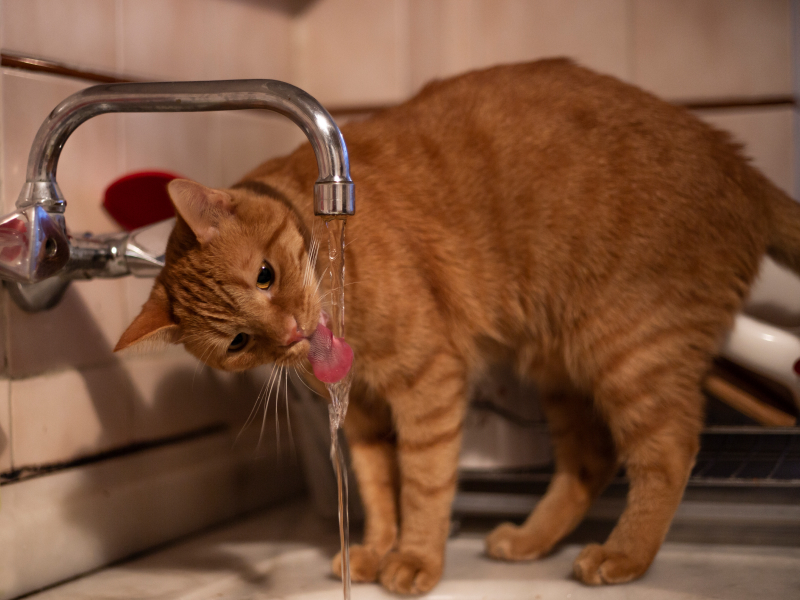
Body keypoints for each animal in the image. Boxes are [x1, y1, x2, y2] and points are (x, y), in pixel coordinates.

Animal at [114, 58, 800, 592]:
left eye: (265, 275)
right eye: (237, 342)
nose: (289, 336)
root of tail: (743, 168)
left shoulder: (427, 382)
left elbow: (422, 482)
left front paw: (415, 558)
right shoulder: (362, 415)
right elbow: (375, 488)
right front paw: (374, 551)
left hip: (629, 352)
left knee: (669, 450)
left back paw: (624, 554)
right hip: (562, 368)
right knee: (593, 458)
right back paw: (529, 540)